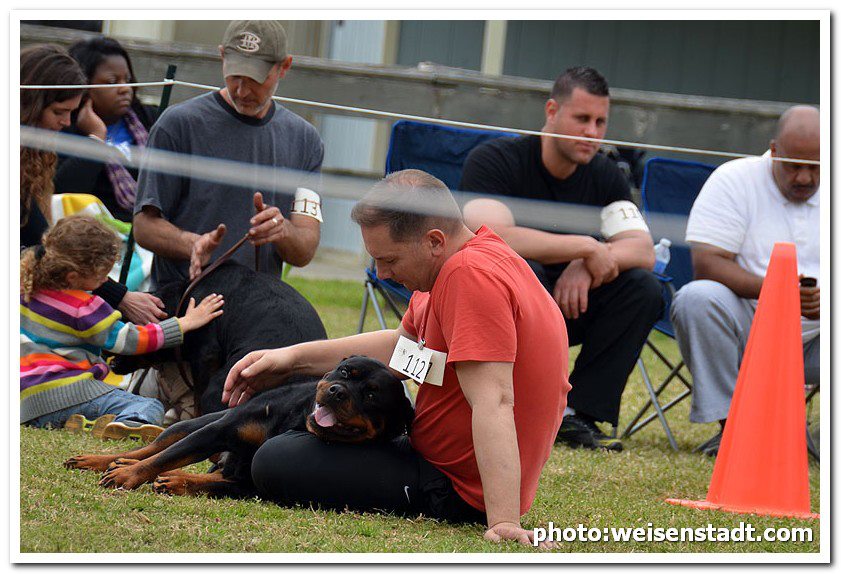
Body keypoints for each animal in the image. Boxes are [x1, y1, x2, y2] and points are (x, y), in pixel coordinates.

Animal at [64, 356, 416, 500]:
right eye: (345, 372)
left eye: (371, 395)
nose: (338, 391)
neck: (296, 421)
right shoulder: (218, 430)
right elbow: (161, 458)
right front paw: (128, 474)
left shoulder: (253, 484)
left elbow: (218, 485)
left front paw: (176, 482)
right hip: (193, 423)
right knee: (154, 447)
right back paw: (104, 461)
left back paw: (171, 478)